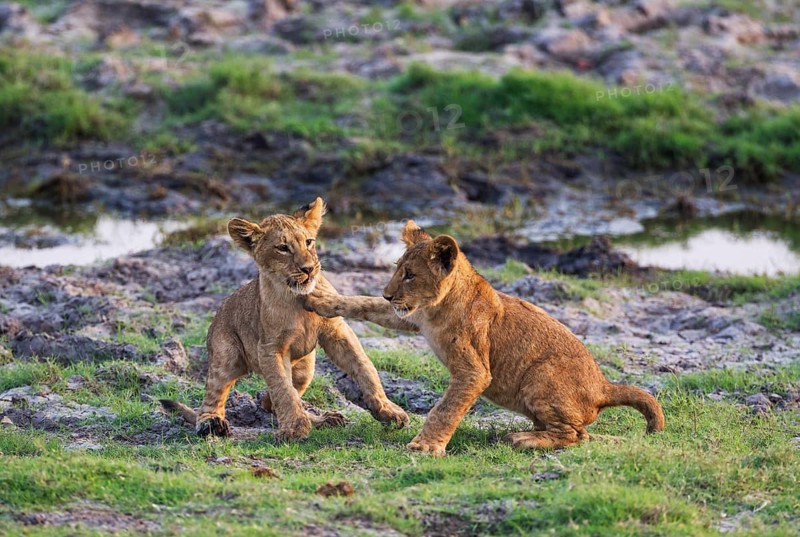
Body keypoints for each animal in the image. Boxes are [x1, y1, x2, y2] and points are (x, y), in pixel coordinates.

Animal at [160, 198, 409, 441]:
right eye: (282, 248)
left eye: (309, 242)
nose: (308, 269)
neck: (297, 300)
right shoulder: (270, 348)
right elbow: (282, 388)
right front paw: (294, 429)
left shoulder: (337, 332)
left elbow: (365, 368)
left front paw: (388, 411)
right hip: (226, 355)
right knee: (215, 395)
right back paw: (211, 423)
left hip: (305, 369)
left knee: (269, 402)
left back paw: (323, 419)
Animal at [303, 220, 664, 455]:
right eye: (396, 269)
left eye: (410, 274)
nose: (388, 294)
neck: (437, 308)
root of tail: (604, 386)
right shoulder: (410, 317)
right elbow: (362, 304)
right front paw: (321, 301)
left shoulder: (474, 370)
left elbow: (445, 409)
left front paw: (425, 446)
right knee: (581, 434)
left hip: (541, 376)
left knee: (576, 435)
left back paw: (523, 440)